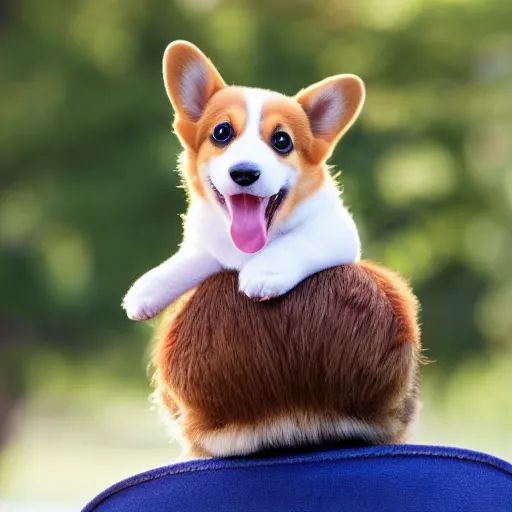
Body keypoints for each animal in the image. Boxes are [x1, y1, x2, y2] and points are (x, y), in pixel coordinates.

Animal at [122, 40, 366, 320]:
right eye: (222, 132)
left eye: (282, 140)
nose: (245, 173)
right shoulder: (208, 245)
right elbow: (191, 258)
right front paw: (150, 286)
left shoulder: (335, 229)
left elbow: (297, 241)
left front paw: (264, 271)